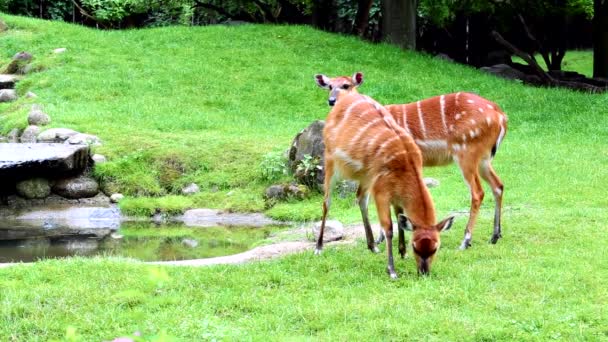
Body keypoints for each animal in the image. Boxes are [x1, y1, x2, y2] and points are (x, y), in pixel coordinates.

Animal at [314, 72, 508, 250]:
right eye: (329, 86)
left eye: (346, 85)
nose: (332, 101)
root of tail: (501, 117)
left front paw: (382, 239)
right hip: (483, 158)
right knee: (498, 185)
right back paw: (495, 235)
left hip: (466, 154)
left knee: (478, 192)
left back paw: (465, 241)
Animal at [314, 73, 452, 278]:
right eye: (415, 246)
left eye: (435, 247)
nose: (424, 272)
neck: (406, 163)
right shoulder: (381, 192)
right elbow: (389, 228)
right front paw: (392, 270)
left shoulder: (392, 191)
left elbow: (400, 217)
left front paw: (401, 252)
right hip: (331, 161)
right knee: (327, 202)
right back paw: (319, 247)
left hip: (365, 176)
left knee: (360, 198)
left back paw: (372, 246)